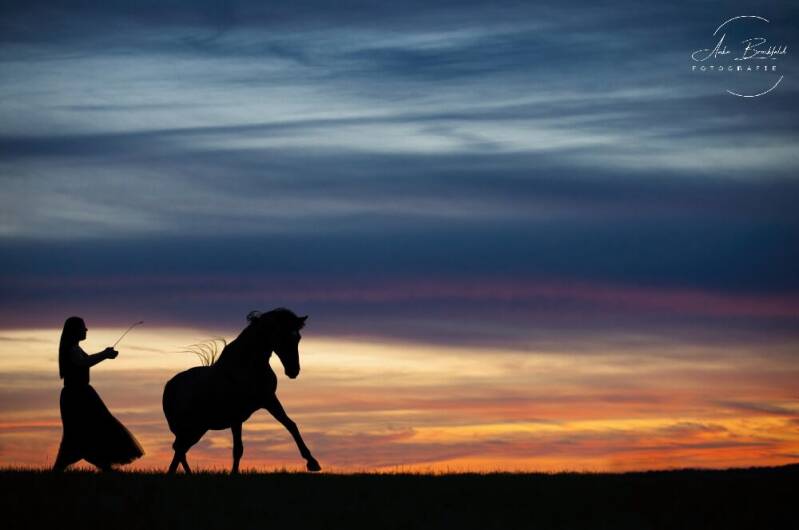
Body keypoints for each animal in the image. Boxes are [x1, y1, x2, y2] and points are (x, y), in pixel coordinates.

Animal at [162, 308, 321, 473]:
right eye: (281, 336)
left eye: (298, 338)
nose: (293, 371)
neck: (246, 366)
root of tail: (169, 386)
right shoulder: (235, 415)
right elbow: (238, 448)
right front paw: (234, 473)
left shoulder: (269, 400)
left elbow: (291, 425)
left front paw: (312, 462)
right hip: (189, 427)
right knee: (179, 449)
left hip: (198, 428)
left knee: (180, 449)